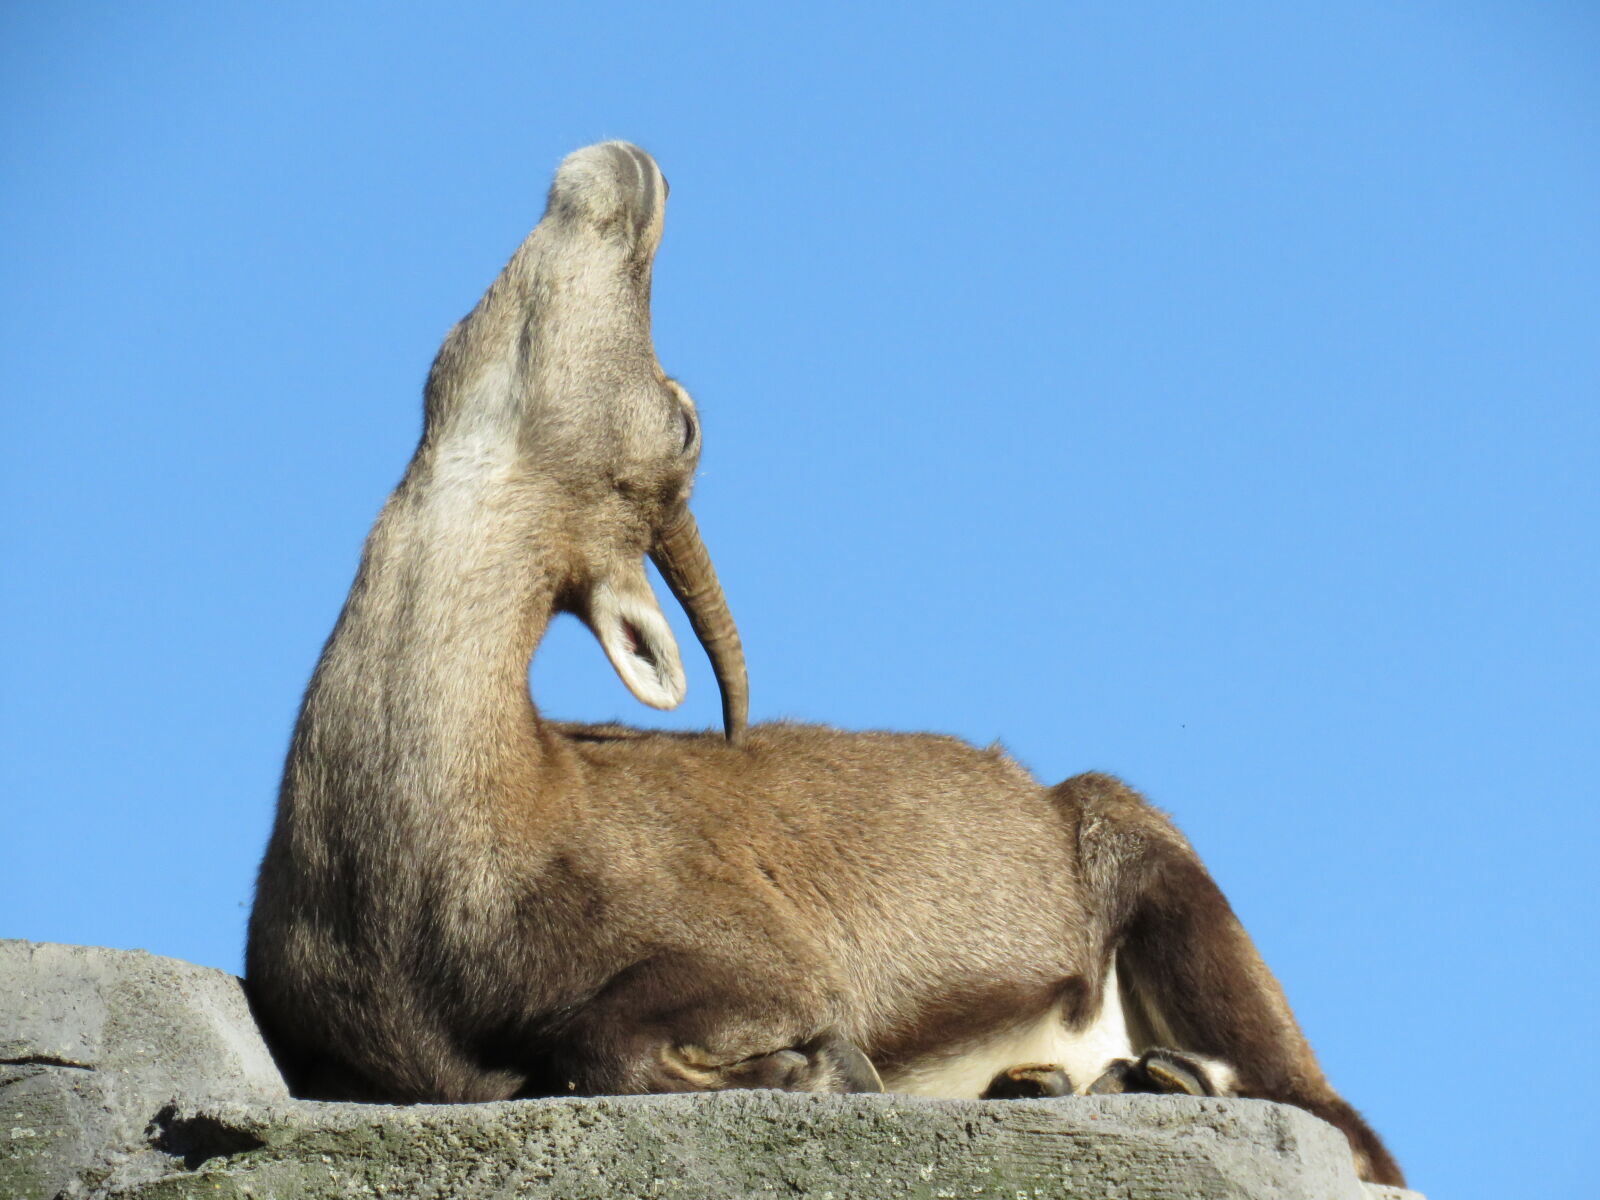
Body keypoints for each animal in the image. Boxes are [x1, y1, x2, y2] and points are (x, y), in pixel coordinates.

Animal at [245, 142, 1404, 1187]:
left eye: (686, 418)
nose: (628, 170)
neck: (429, 848)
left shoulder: (755, 957)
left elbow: (601, 1042)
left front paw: (826, 1068)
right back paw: (1056, 1082)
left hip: (1159, 866)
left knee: (1339, 1121)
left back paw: (1158, 1077)